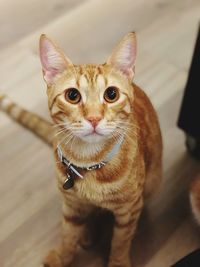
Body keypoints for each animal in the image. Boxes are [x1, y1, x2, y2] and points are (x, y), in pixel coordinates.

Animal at [0, 32, 162, 266]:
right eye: (72, 96)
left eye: (111, 94)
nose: (93, 118)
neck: (88, 160)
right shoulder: (70, 206)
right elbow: (67, 236)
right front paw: (61, 257)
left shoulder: (129, 209)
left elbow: (121, 242)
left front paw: (118, 262)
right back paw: (87, 232)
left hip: (152, 183)